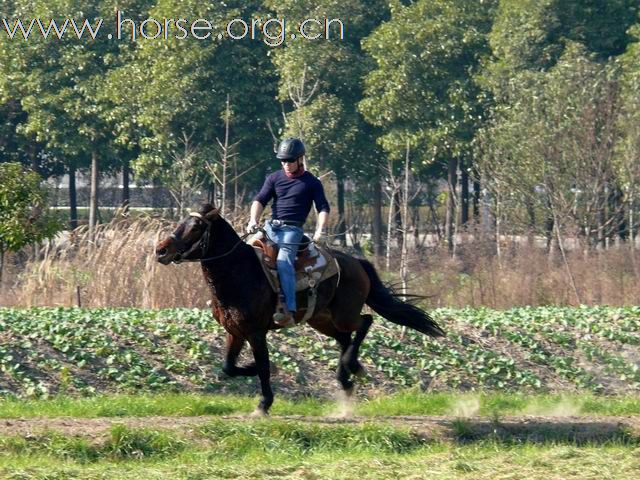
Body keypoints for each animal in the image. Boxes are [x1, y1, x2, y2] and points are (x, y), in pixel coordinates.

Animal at [156, 204, 444, 414]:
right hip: (321, 320)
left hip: (344, 314)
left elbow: (264, 367)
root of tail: (357, 262)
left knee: (365, 322)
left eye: (195, 227)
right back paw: (347, 377)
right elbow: (229, 367)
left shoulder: (257, 332)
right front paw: (253, 374)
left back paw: (352, 367)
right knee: (345, 338)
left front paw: (264, 404)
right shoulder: (235, 331)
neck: (240, 273)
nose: (160, 250)